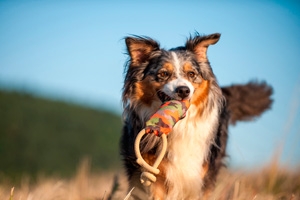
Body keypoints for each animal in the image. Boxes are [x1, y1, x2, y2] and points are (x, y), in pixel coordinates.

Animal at [119, 32, 272, 198]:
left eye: (191, 74)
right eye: (163, 74)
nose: (183, 90)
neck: (180, 127)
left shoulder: (202, 173)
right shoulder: (150, 172)